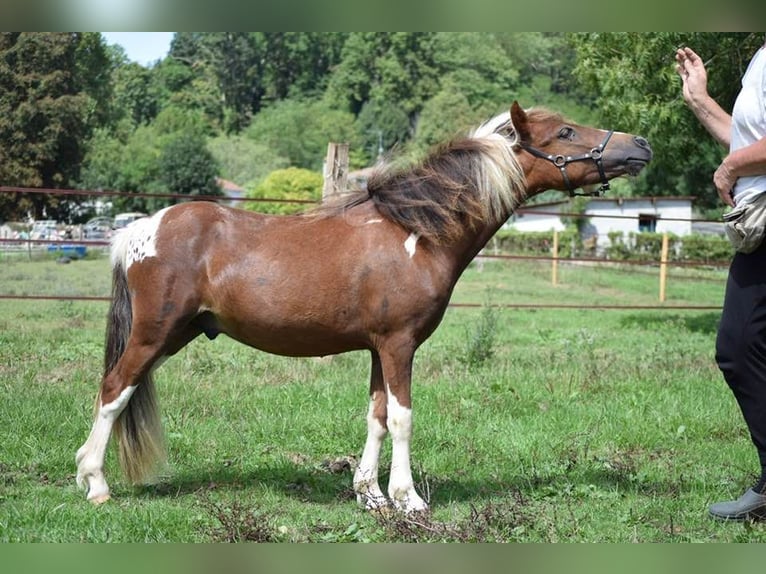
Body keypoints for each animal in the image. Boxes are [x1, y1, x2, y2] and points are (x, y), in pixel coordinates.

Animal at [75, 101, 652, 511]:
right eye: (566, 133)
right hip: (154, 334)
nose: (641, 145)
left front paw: (369, 495)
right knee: (112, 391)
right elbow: (402, 418)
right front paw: (407, 499)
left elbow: (375, 416)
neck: (416, 231)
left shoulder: (379, 349)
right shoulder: (399, 346)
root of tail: (139, 229)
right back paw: (95, 484)